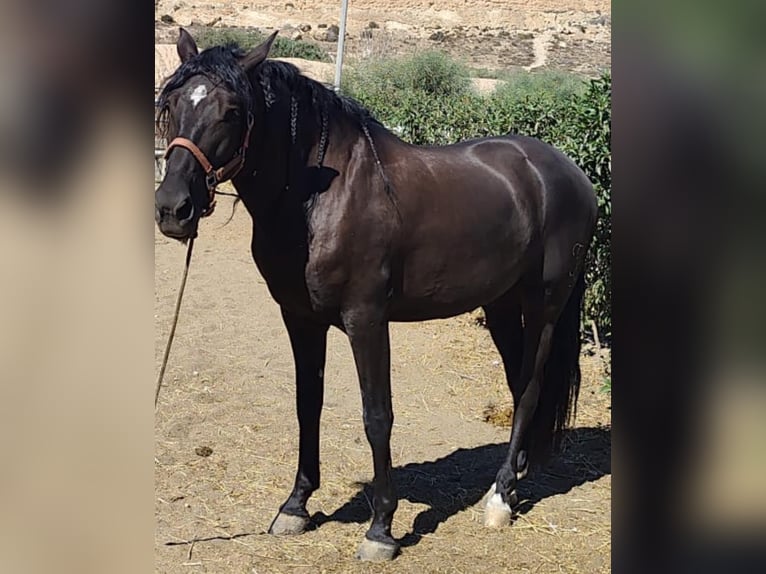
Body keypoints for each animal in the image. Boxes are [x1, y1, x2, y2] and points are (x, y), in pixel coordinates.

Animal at [155, 29, 597, 561]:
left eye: (232, 111)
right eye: (172, 102)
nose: (173, 209)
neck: (320, 199)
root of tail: (569, 171)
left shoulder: (366, 320)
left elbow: (377, 416)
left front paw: (381, 528)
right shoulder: (299, 317)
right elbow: (308, 404)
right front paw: (296, 506)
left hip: (544, 307)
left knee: (530, 389)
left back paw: (499, 500)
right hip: (501, 306)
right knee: (517, 384)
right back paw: (512, 480)